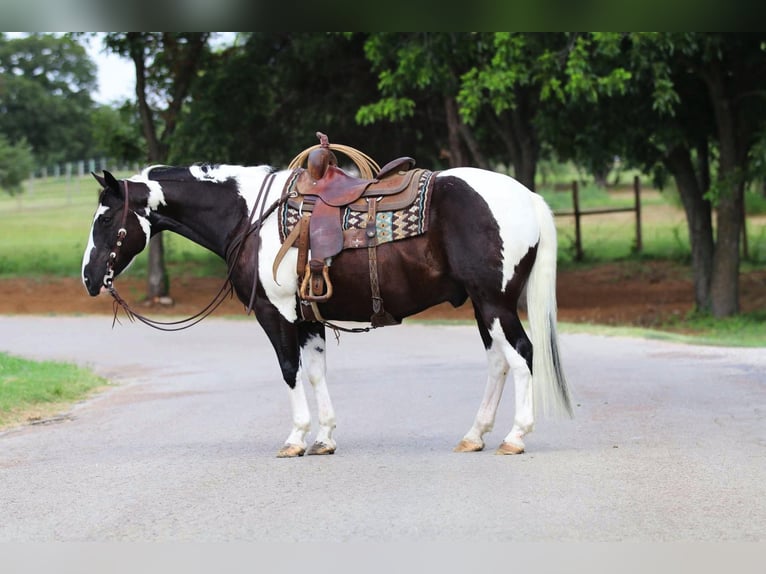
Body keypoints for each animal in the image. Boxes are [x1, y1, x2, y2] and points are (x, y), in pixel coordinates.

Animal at [81, 155, 572, 456]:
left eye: (104, 218)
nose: (89, 277)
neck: (248, 216)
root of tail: (527, 197)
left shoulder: (276, 313)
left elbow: (289, 371)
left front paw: (296, 438)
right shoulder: (308, 318)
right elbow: (315, 372)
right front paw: (324, 438)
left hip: (494, 302)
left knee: (522, 355)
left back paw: (515, 436)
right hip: (482, 305)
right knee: (499, 362)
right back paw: (474, 435)